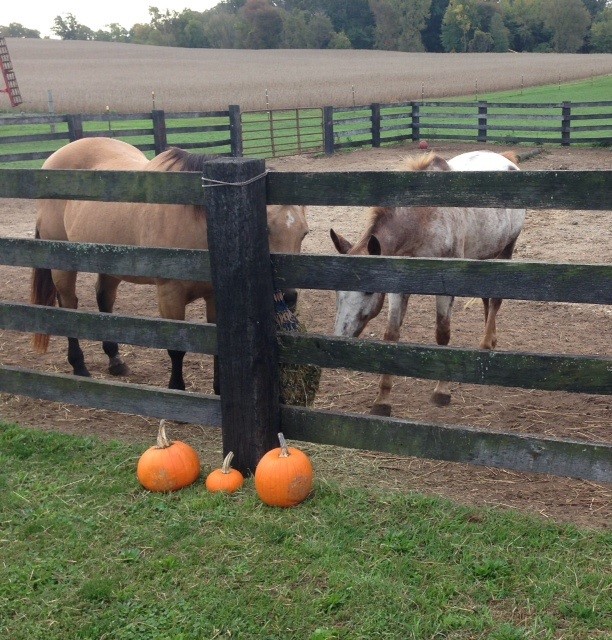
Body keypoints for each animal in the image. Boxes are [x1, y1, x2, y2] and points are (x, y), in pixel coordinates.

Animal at [31, 136, 308, 390]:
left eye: (304, 233)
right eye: (265, 229)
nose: (289, 297)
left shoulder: (214, 297)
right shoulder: (169, 295)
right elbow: (176, 348)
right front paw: (177, 388)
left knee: (104, 300)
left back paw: (116, 361)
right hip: (62, 261)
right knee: (68, 306)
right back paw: (79, 367)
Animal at [330, 149, 524, 416]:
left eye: (369, 291)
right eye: (337, 291)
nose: (340, 339)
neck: (424, 218)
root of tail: (507, 160)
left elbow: (442, 334)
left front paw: (441, 391)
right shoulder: (397, 287)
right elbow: (391, 335)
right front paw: (382, 400)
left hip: (506, 249)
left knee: (495, 299)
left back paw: (485, 344)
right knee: (487, 297)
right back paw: (490, 339)